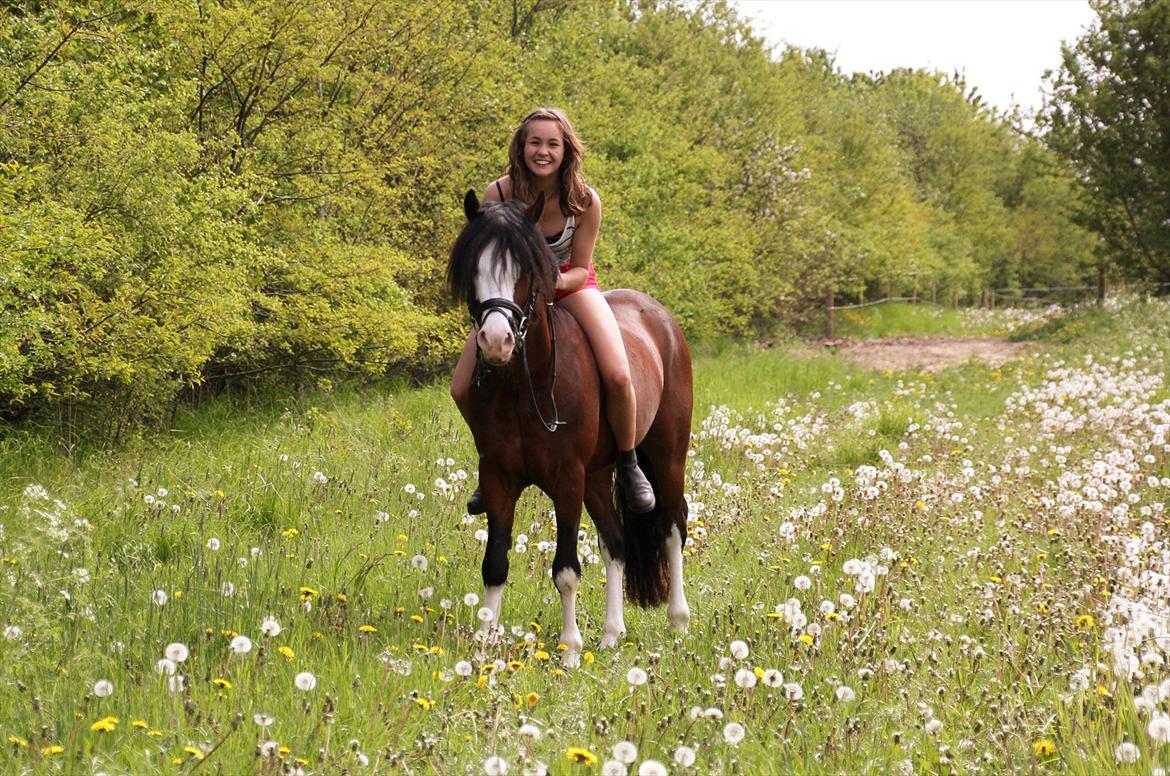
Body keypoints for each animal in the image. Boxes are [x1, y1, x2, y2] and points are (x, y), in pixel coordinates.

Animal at [447, 189, 692, 666]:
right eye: (474, 268)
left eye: (524, 270)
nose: (497, 341)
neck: (525, 385)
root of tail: (661, 317)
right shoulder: (499, 476)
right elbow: (494, 564)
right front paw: (484, 646)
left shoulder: (567, 479)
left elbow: (565, 570)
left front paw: (570, 650)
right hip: (597, 476)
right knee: (615, 540)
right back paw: (613, 634)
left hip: (667, 457)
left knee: (673, 527)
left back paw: (678, 622)